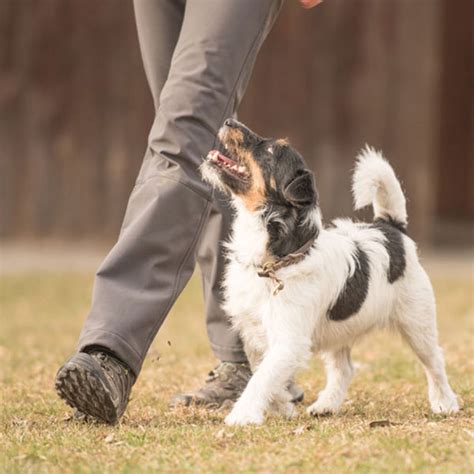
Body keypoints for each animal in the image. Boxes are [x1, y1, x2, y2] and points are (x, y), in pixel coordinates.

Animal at [200, 118, 460, 426]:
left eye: (273, 150)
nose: (229, 120)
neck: (278, 259)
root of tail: (390, 227)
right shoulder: (254, 333)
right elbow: (262, 370)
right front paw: (282, 406)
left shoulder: (289, 340)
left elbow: (261, 378)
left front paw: (242, 415)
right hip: (339, 330)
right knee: (344, 368)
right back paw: (326, 404)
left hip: (417, 322)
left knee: (434, 361)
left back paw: (445, 402)